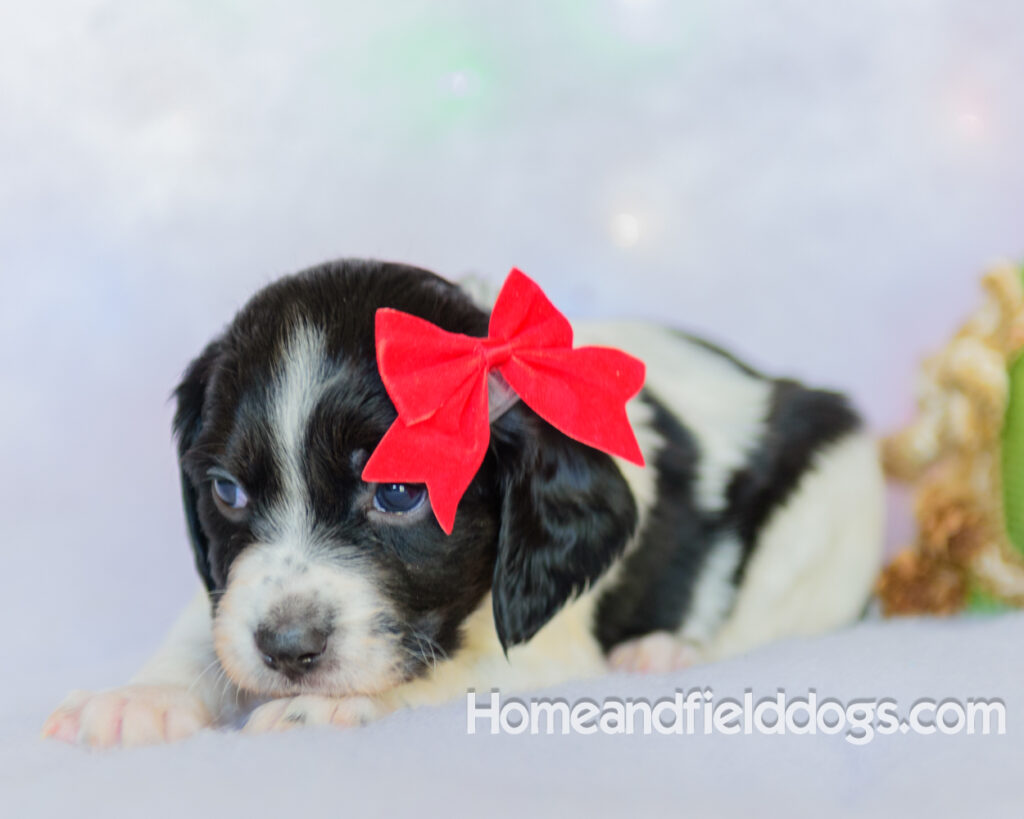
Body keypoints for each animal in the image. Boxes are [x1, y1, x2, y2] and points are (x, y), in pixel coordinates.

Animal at [44, 259, 884, 745]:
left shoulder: (549, 649)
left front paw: (331, 706)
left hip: (833, 502)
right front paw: (140, 697)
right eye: (226, 490)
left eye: (399, 493)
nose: (287, 649)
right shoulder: (232, 588)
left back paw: (663, 650)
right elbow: (210, 622)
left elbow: (445, 676)